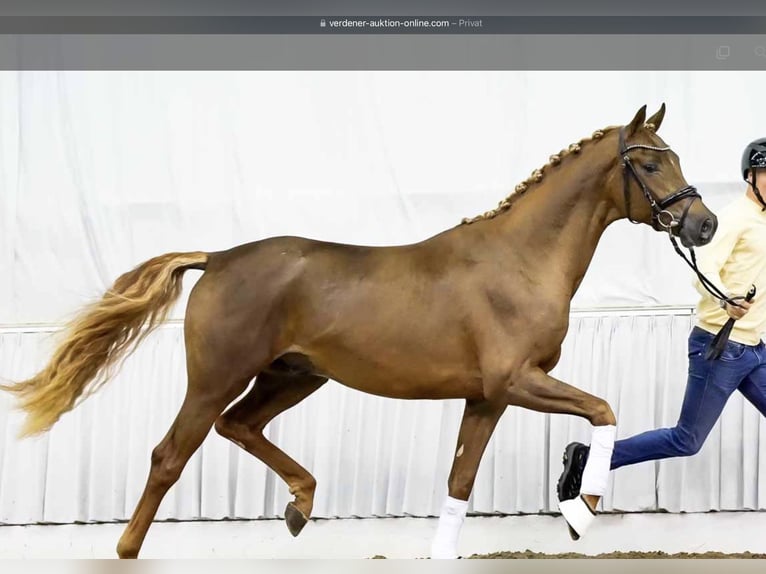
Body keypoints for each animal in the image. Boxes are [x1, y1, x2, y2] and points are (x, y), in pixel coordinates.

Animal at [0, 103, 720, 560]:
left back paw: (300, 505)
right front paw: (578, 510)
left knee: (240, 427)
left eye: (676, 157)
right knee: (169, 455)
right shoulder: (517, 380)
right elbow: (603, 410)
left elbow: (460, 483)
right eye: (650, 164)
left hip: (294, 377)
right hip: (216, 378)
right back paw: (128, 550)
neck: (520, 260)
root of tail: (219, 258)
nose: (705, 224)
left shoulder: (487, 396)